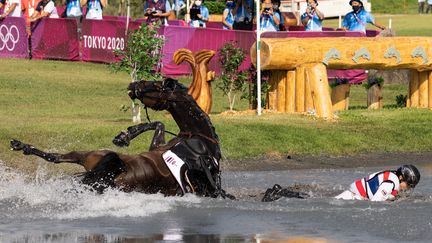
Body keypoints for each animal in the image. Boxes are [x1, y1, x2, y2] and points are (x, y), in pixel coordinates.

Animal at [9, 79, 233, 198]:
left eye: (155, 84)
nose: (134, 83)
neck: (201, 140)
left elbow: (158, 123)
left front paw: (124, 135)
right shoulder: (158, 146)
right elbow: (158, 123)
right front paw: (125, 135)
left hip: (97, 158)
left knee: (61, 161)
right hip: (92, 157)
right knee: (55, 157)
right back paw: (21, 146)